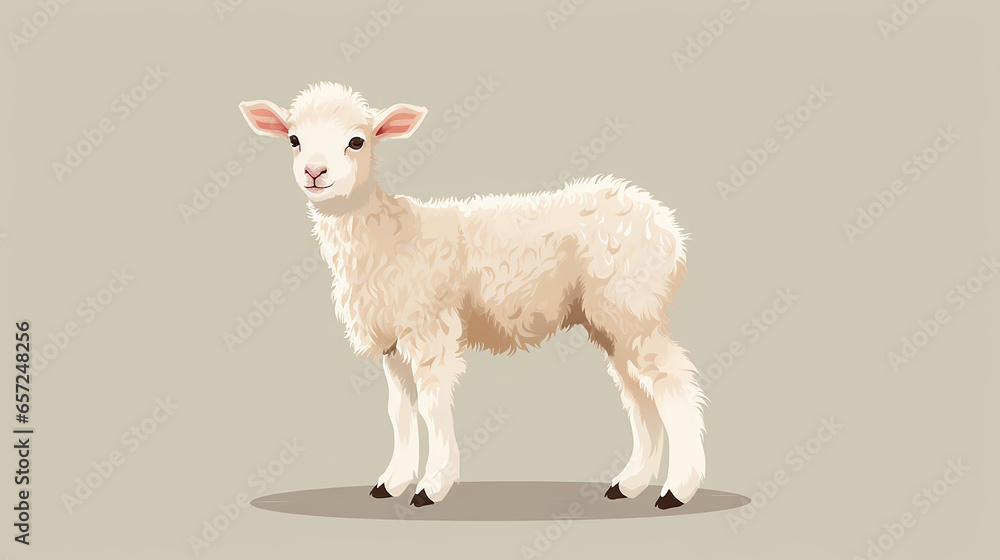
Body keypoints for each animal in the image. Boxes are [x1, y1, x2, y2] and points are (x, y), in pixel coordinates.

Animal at [239, 82, 706, 509]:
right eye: (294, 140)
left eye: (357, 141)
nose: (314, 172)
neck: (387, 233)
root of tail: (666, 227)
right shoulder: (393, 340)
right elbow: (399, 411)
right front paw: (391, 483)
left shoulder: (430, 329)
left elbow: (431, 405)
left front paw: (432, 486)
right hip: (612, 320)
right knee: (639, 395)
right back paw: (629, 484)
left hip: (634, 306)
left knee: (673, 384)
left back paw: (676, 491)